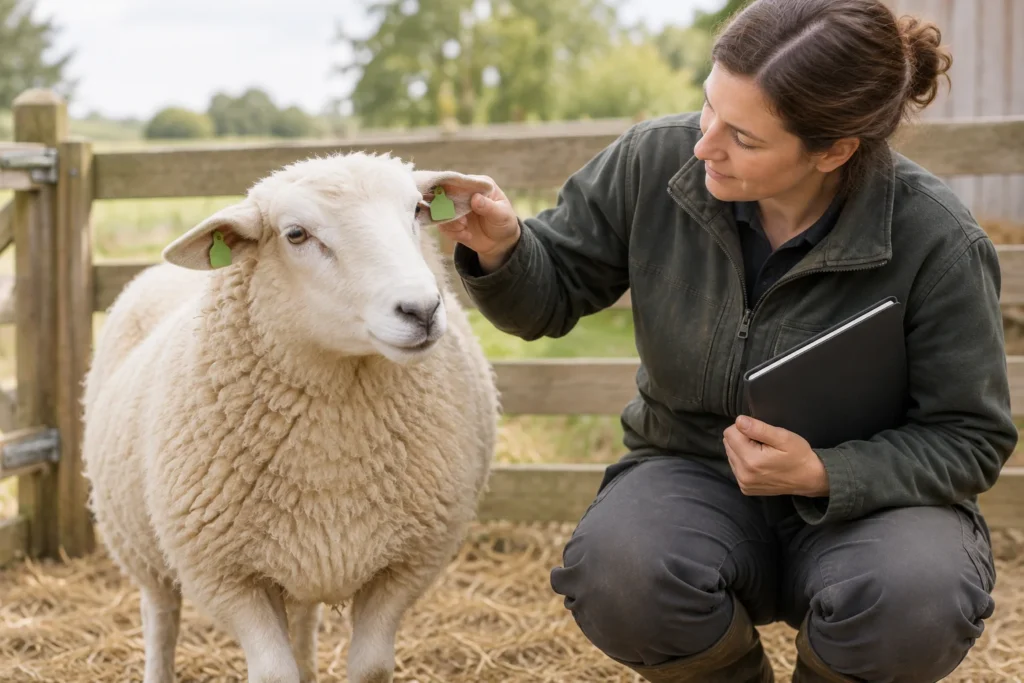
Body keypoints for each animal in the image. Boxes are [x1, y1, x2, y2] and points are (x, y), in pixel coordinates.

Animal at [80, 151, 501, 683]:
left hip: (302, 559)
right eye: (296, 234)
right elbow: (274, 673)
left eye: (418, 211)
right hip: (139, 545)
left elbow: (370, 667)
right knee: (161, 618)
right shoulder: (226, 576)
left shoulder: (408, 563)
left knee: (303, 621)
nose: (421, 310)